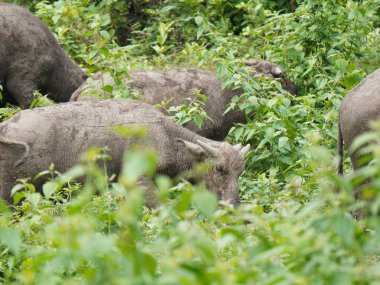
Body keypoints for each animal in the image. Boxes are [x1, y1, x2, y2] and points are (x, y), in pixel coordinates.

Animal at [0, 98, 249, 205]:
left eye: (240, 171)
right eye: (220, 169)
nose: (234, 204)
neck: (167, 136)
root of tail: (6, 127)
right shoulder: (138, 180)